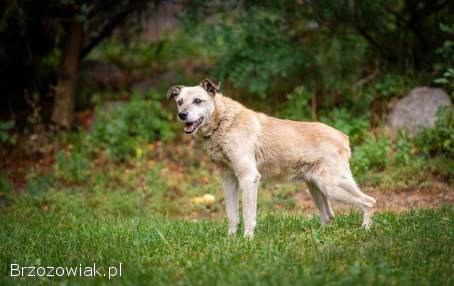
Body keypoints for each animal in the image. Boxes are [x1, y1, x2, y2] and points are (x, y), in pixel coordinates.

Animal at [167, 79, 376, 238]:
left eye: (197, 100)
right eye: (179, 101)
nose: (182, 115)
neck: (223, 122)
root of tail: (342, 136)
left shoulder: (249, 178)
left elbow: (248, 215)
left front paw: (247, 240)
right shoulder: (228, 180)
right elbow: (232, 214)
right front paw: (230, 239)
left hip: (332, 186)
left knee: (369, 202)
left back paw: (365, 230)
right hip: (317, 187)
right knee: (329, 216)